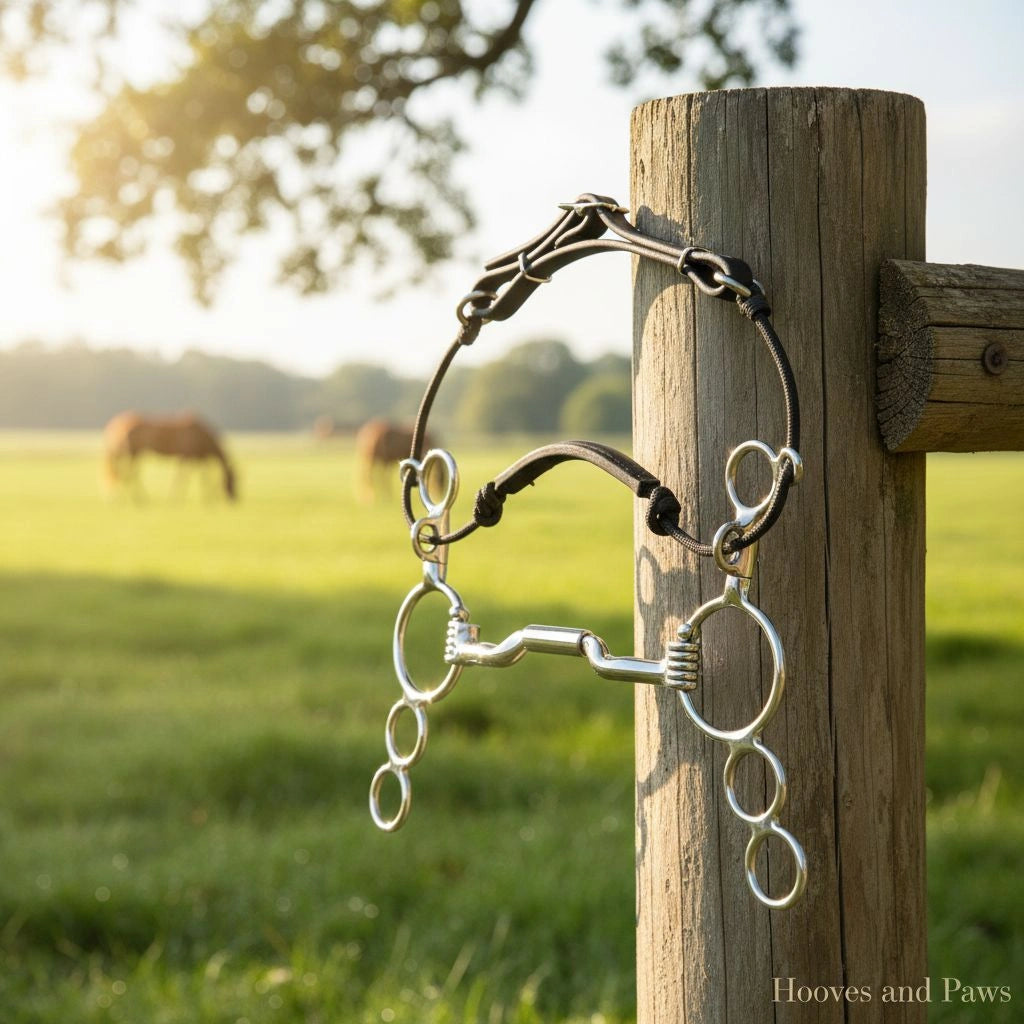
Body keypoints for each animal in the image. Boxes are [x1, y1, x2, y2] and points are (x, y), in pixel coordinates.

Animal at [103, 412, 237, 501]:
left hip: (133, 454)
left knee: (126, 475)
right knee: (129, 475)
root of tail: (119, 424)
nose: (235, 499)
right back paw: (139, 499)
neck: (201, 436)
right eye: (234, 479)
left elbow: (197, 477)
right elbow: (186, 478)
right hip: (134, 453)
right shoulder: (187, 457)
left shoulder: (195, 459)